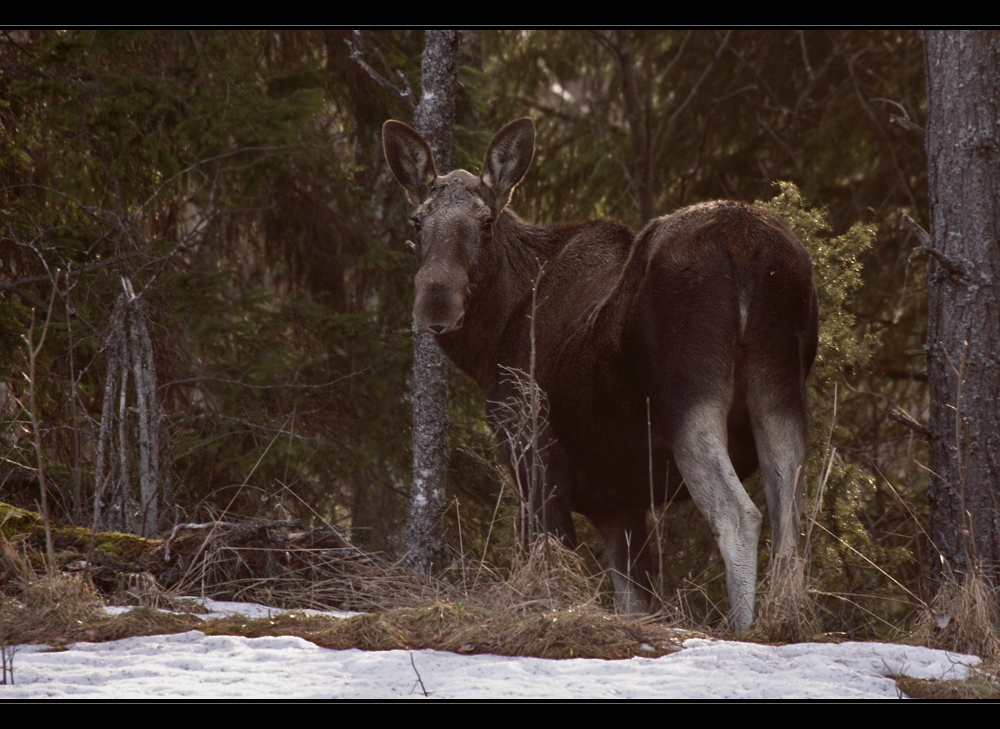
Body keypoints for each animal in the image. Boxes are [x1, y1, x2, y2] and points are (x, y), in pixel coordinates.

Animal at [384, 118, 820, 632]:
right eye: (418, 221)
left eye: (485, 222)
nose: (436, 303)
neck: (489, 342)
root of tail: (748, 248)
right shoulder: (620, 504)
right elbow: (636, 600)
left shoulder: (536, 459)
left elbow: (553, 571)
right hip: (779, 389)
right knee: (791, 522)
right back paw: (785, 623)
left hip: (688, 399)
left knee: (739, 514)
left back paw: (745, 628)